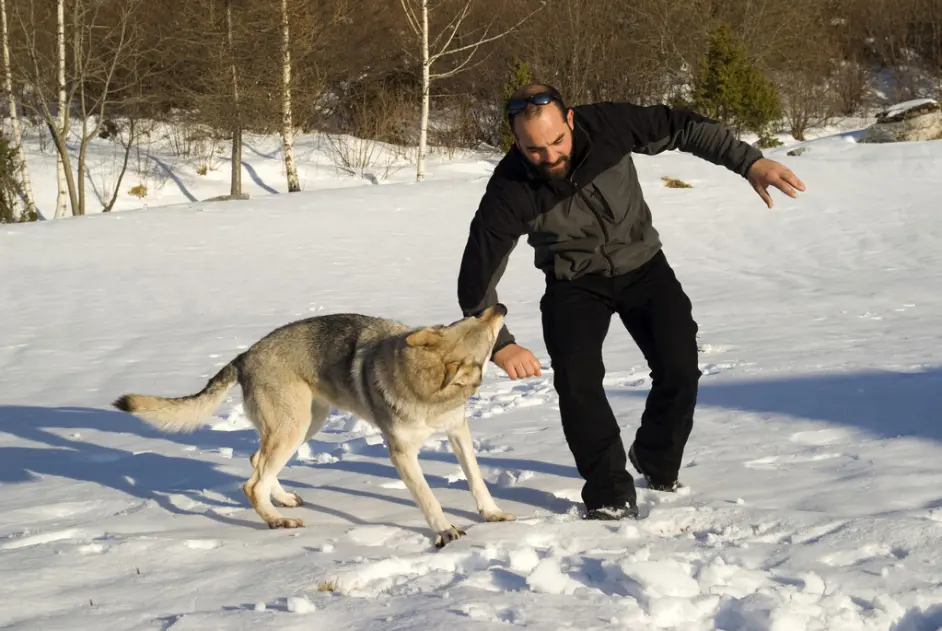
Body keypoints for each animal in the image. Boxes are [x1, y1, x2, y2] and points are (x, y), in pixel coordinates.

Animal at [116, 304, 524, 544]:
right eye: (481, 326)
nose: (499, 305)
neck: (426, 389)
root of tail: (246, 354)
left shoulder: (458, 432)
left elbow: (476, 480)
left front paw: (492, 514)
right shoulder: (401, 453)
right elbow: (428, 498)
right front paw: (444, 531)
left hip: (307, 423)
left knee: (256, 463)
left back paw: (282, 500)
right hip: (294, 427)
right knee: (251, 483)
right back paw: (277, 521)